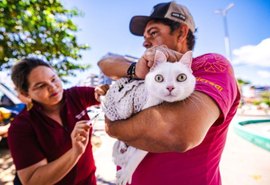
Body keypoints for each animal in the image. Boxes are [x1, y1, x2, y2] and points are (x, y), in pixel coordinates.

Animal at [102, 50, 195, 185]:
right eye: (159, 78)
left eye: (182, 77)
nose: (170, 87)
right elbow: (132, 152)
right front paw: (124, 171)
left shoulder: (150, 138)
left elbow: (136, 155)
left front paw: (125, 171)